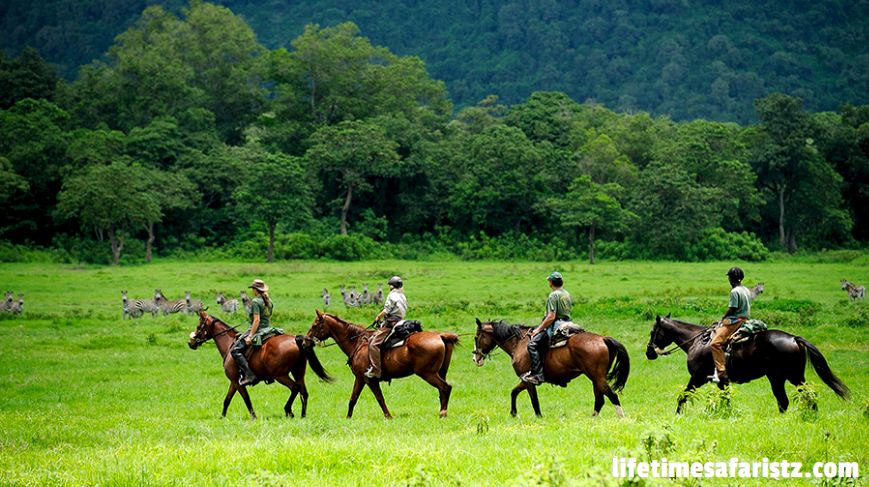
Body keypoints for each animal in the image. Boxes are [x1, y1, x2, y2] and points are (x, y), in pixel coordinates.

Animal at [188, 310, 333, 420]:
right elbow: (227, 400)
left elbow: (246, 399)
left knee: (295, 388)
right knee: (304, 392)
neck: (230, 346)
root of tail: (296, 339)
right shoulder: (234, 382)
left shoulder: (237, 382)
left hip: (280, 375)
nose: (191, 343)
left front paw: (254, 417)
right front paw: (222, 417)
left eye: (199, 326)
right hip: (298, 372)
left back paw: (288, 411)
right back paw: (303, 415)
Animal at [307, 310, 458, 418]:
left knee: (445, 387)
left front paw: (388, 416)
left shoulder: (369, 379)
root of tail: (439, 336)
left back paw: (443, 413)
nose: (307, 339)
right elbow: (353, 399)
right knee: (442, 390)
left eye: (315, 325)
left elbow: (380, 399)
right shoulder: (360, 379)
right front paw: (348, 418)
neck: (358, 343)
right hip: (439, 372)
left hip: (427, 373)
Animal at [472, 319, 629, 418]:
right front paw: (513, 413)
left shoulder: (528, 381)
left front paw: (539, 417)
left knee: (612, 396)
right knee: (600, 399)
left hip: (597, 378)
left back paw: (621, 418)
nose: (475, 358)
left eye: (476, 337)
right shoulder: (524, 379)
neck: (519, 343)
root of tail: (603, 339)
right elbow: (514, 392)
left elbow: (534, 400)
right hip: (596, 379)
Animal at [646, 315, 850, 414]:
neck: (696, 341)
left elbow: (683, 396)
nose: (649, 353)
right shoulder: (722, 382)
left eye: (653, 331)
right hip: (778, 377)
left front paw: (677, 415)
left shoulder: (697, 377)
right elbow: (726, 399)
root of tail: (793, 338)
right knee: (784, 400)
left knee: (806, 395)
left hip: (792, 377)